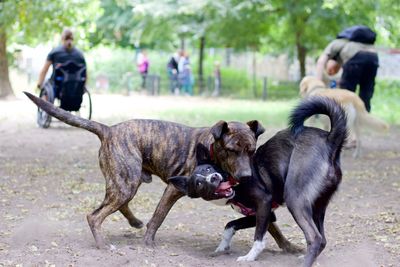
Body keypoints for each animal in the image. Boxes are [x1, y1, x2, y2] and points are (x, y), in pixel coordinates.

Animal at [23, 92, 264, 249]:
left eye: (252, 151)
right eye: (231, 150)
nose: (246, 176)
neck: (211, 148)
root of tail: (108, 130)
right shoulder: (173, 189)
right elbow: (158, 216)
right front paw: (148, 242)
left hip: (128, 181)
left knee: (119, 205)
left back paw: (134, 222)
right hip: (125, 183)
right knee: (95, 216)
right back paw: (103, 245)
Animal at [169, 97, 346, 266]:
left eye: (208, 169)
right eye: (198, 184)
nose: (214, 178)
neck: (233, 183)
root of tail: (330, 140)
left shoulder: (264, 203)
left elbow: (258, 239)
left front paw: (250, 257)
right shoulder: (264, 214)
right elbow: (230, 225)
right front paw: (222, 247)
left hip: (295, 199)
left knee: (315, 238)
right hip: (317, 206)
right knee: (322, 240)